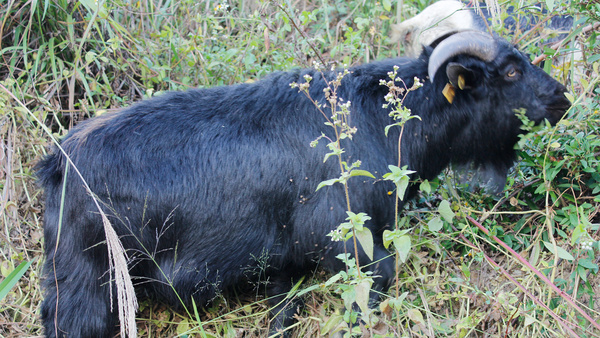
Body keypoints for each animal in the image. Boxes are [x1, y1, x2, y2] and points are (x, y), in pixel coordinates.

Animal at [38, 30, 572, 336]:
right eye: (510, 70)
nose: (562, 97)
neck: (379, 117)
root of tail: (59, 163)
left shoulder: (283, 266)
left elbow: (282, 317)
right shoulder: (350, 242)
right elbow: (373, 286)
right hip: (91, 284)